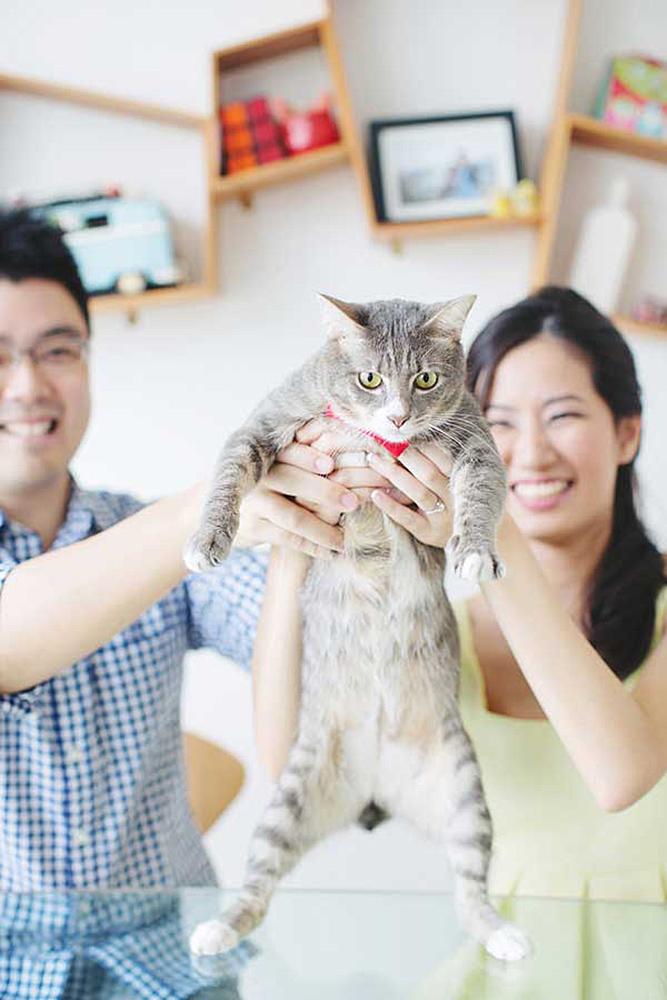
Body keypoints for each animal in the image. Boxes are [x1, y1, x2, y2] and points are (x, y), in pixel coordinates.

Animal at [188, 294, 532, 960]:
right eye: (369, 379)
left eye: (425, 380)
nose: (397, 418)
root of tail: (375, 786)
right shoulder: (268, 421)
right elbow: (229, 474)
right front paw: (207, 537)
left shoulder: (476, 443)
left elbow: (481, 494)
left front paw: (476, 550)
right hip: (289, 798)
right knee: (259, 884)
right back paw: (219, 928)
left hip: (465, 796)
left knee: (468, 890)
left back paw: (502, 936)